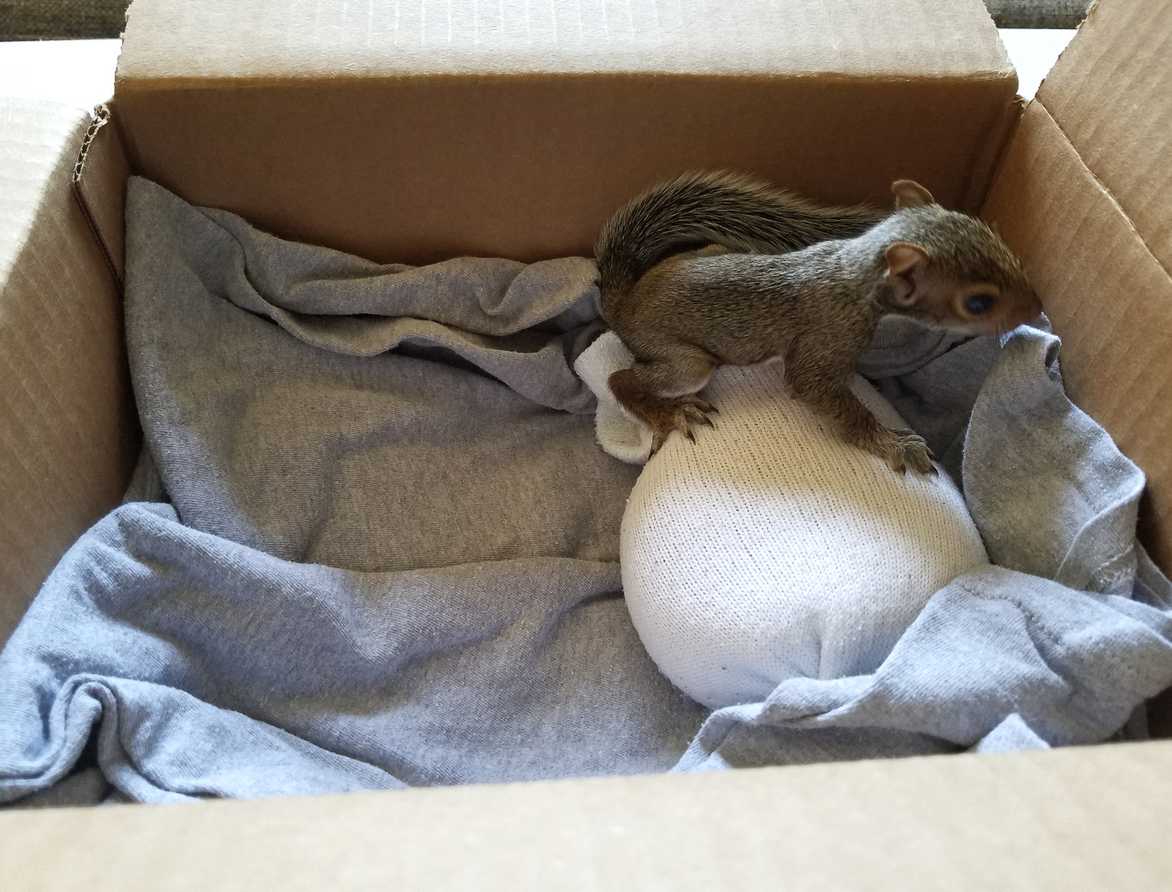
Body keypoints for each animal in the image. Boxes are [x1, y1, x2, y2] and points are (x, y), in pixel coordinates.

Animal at [594, 171, 1041, 474]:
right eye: (979, 302)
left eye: (995, 237)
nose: (1038, 308)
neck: (856, 273)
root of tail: (625, 301)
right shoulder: (828, 337)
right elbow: (824, 394)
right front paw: (894, 444)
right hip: (687, 362)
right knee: (622, 380)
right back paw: (668, 413)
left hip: (711, 251)